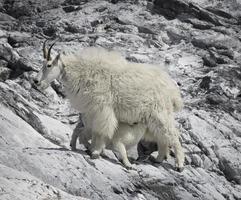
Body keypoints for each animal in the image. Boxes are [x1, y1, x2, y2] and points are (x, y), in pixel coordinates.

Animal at [33, 40, 185, 170]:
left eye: (49, 65)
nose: (36, 81)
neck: (81, 72)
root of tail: (173, 91)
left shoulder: (103, 109)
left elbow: (101, 131)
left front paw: (95, 152)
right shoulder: (91, 112)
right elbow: (91, 131)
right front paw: (93, 149)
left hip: (160, 113)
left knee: (173, 136)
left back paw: (179, 165)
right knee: (162, 137)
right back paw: (159, 159)